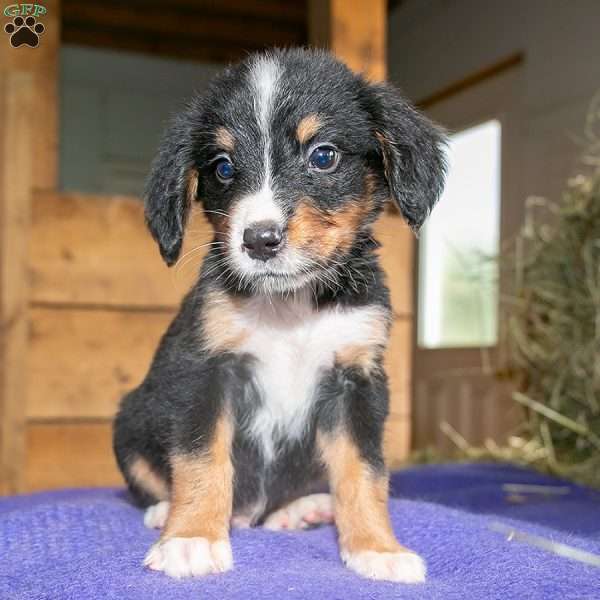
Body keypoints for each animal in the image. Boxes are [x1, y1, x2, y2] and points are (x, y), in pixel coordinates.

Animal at [112, 49, 446, 584]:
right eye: (223, 167)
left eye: (324, 156)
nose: (260, 240)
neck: (290, 307)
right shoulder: (205, 371)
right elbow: (201, 459)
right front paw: (192, 538)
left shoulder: (354, 381)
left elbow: (365, 472)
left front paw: (377, 548)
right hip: (130, 419)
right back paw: (167, 513)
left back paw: (303, 509)